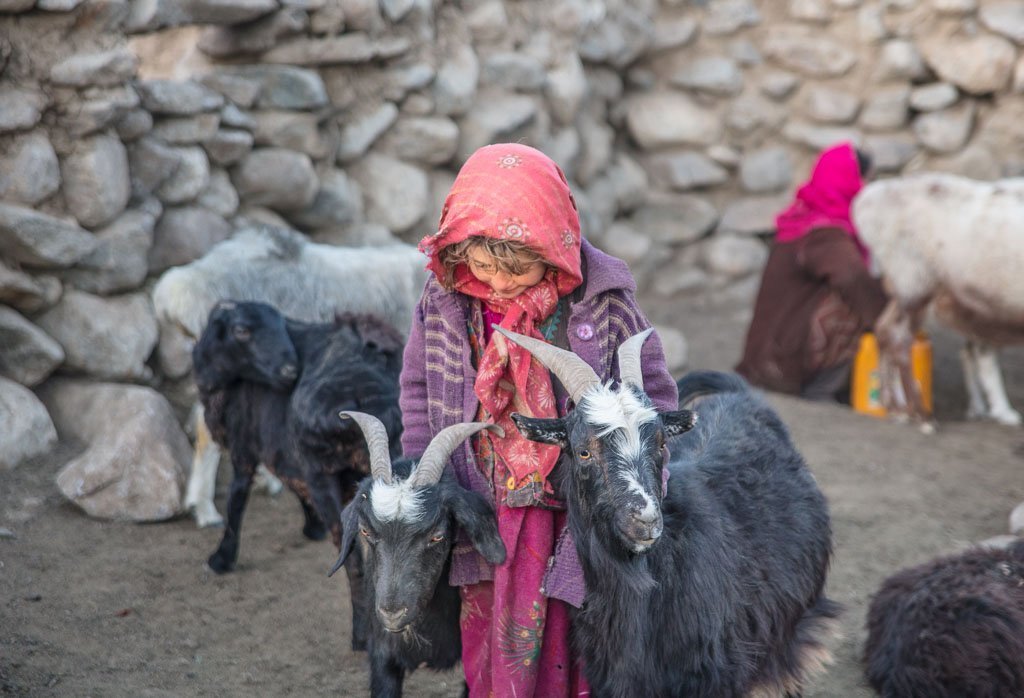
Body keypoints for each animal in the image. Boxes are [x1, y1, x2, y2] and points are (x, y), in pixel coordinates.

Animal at [851, 172, 1024, 423]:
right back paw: (920, 415)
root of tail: (864, 204)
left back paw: (896, 408)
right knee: (897, 336)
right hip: (913, 280)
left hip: (918, 287)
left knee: (886, 330)